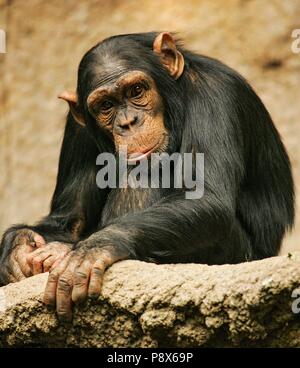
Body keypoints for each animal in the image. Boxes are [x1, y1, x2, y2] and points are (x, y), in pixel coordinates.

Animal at [0, 31, 294, 320]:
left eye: (137, 91)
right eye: (106, 105)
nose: (128, 122)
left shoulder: (216, 95)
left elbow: (205, 198)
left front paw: (94, 248)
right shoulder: (78, 127)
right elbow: (70, 220)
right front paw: (18, 247)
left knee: (141, 177)